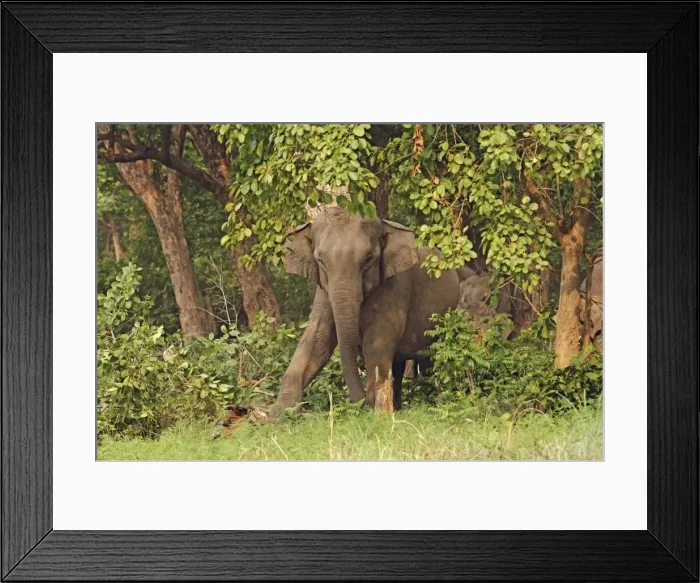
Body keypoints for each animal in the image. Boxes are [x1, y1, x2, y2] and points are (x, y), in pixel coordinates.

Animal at [274, 207, 461, 412]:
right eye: (320, 260)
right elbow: (317, 337)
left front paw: (372, 406)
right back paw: (396, 406)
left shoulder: (396, 283)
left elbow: (378, 339)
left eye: (369, 258)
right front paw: (279, 412)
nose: (359, 400)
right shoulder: (323, 291)